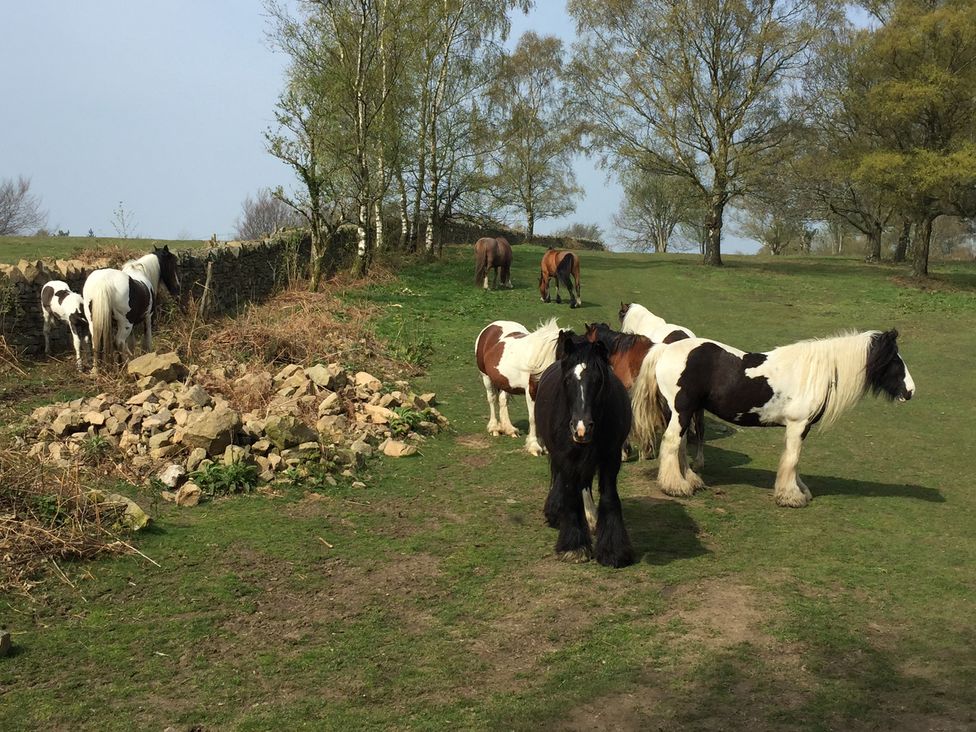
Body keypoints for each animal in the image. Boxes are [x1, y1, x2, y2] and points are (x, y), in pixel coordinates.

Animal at [83, 245, 181, 373]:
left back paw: (96, 371)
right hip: (125, 324)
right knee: (119, 342)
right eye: (173, 263)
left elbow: (131, 343)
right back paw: (123, 368)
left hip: (94, 322)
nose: (177, 288)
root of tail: (104, 281)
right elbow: (147, 340)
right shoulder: (148, 318)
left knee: (97, 342)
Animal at [475, 318, 563, 456]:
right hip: (486, 378)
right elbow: (533, 418)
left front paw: (545, 447)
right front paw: (534, 447)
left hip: (505, 382)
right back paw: (494, 428)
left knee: (502, 401)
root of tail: (490, 327)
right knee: (492, 399)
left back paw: (510, 430)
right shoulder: (531, 392)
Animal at [536, 330, 634, 567]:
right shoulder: (566, 458)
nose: (581, 428)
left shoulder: (610, 458)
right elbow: (571, 495)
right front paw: (574, 546)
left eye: (598, 380)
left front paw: (613, 550)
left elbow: (609, 496)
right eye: (568, 379)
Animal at [630, 329, 915, 508]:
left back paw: (690, 481)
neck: (813, 372)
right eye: (895, 361)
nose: (910, 391)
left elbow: (793, 459)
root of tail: (664, 349)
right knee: (671, 443)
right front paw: (791, 497)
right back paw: (676, 487)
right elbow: (792, 459)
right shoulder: (798, 425)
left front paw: (799, 491)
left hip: (684, 412)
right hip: (682, 410)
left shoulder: (799, 427)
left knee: (678, 445)